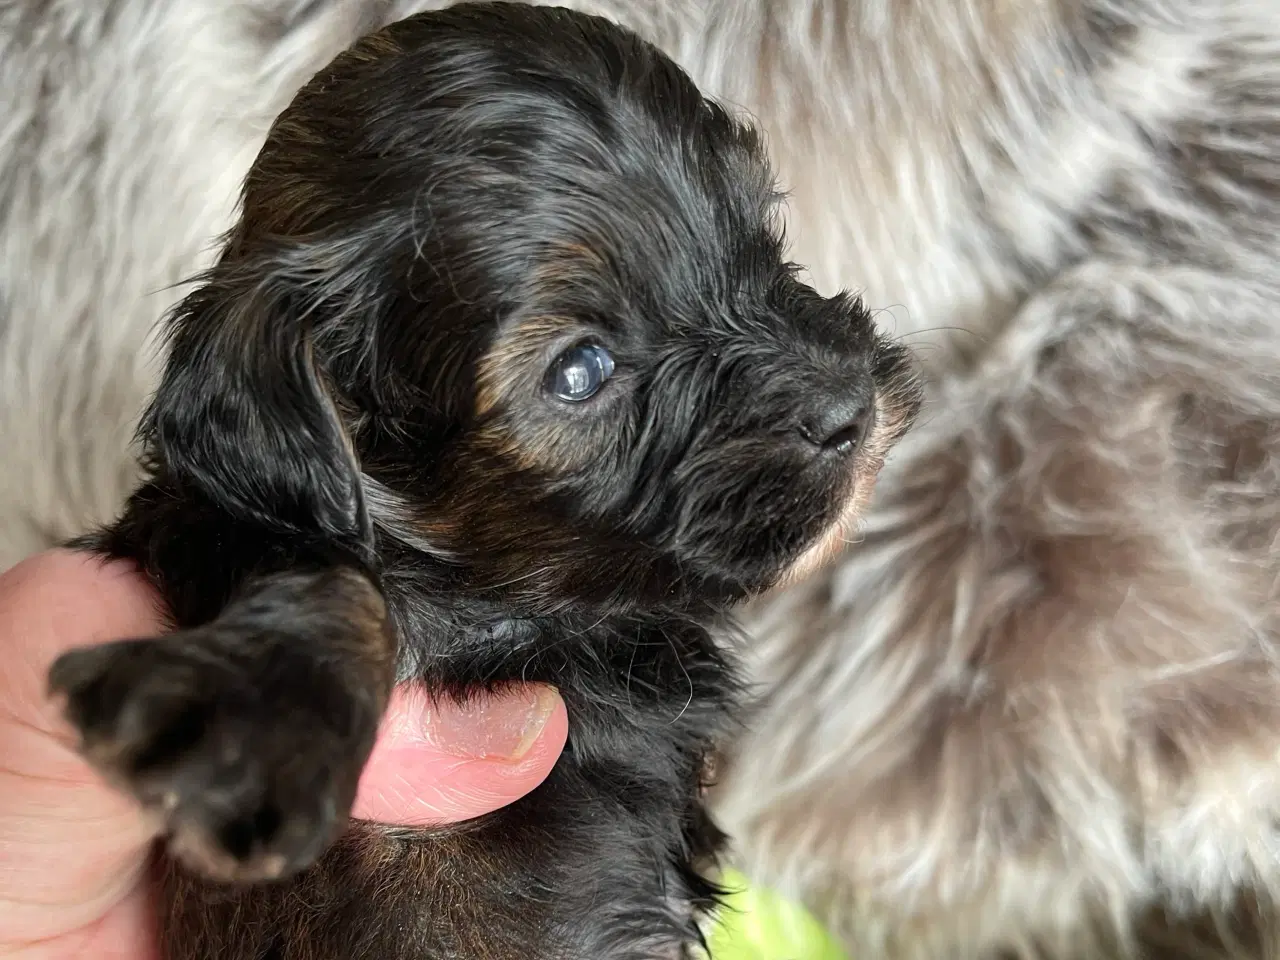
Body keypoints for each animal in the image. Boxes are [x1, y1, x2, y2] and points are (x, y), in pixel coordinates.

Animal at [42, 7, 921, 960]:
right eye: (580, 371)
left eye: (760, 238)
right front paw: (257, 717)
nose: (848, 405)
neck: (517, 597)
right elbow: (328, 580)